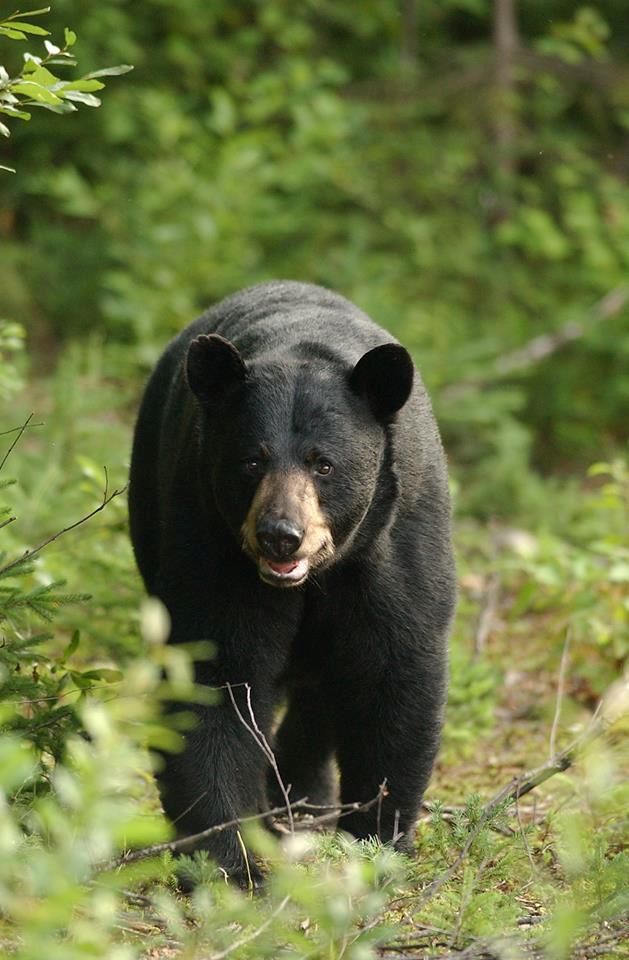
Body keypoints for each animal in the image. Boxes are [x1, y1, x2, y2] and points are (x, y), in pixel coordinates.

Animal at [127, 280, 454, 884]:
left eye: (323, 464)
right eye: (251, 460)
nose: (281, 535)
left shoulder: (394, 548)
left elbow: (394, 673)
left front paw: (376, 841)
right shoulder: (210, 540)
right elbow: (213, 675)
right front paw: (229, 859)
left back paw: (303, 799)